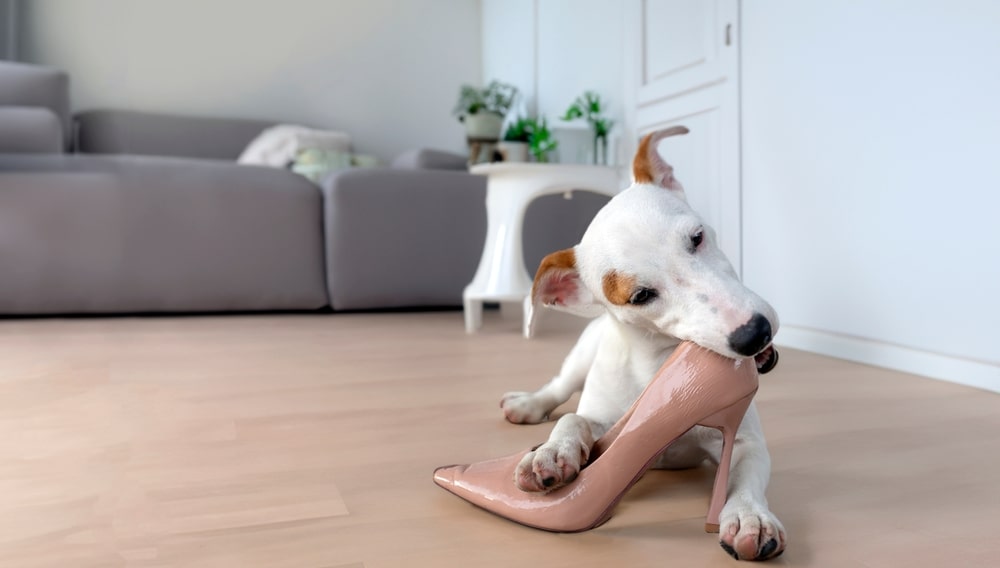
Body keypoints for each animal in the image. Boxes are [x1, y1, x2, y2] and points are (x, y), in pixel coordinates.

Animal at [500, 126, 788, 560]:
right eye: (640, 296)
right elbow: (574, 419)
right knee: (559, 387)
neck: (659, 368)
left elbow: (746, 475)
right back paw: (529, 404)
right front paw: (551, 452)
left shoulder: (742, 438)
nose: (755, 333)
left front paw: (748, 515)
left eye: (697, 237)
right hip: (580, 357)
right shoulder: (602, 420)